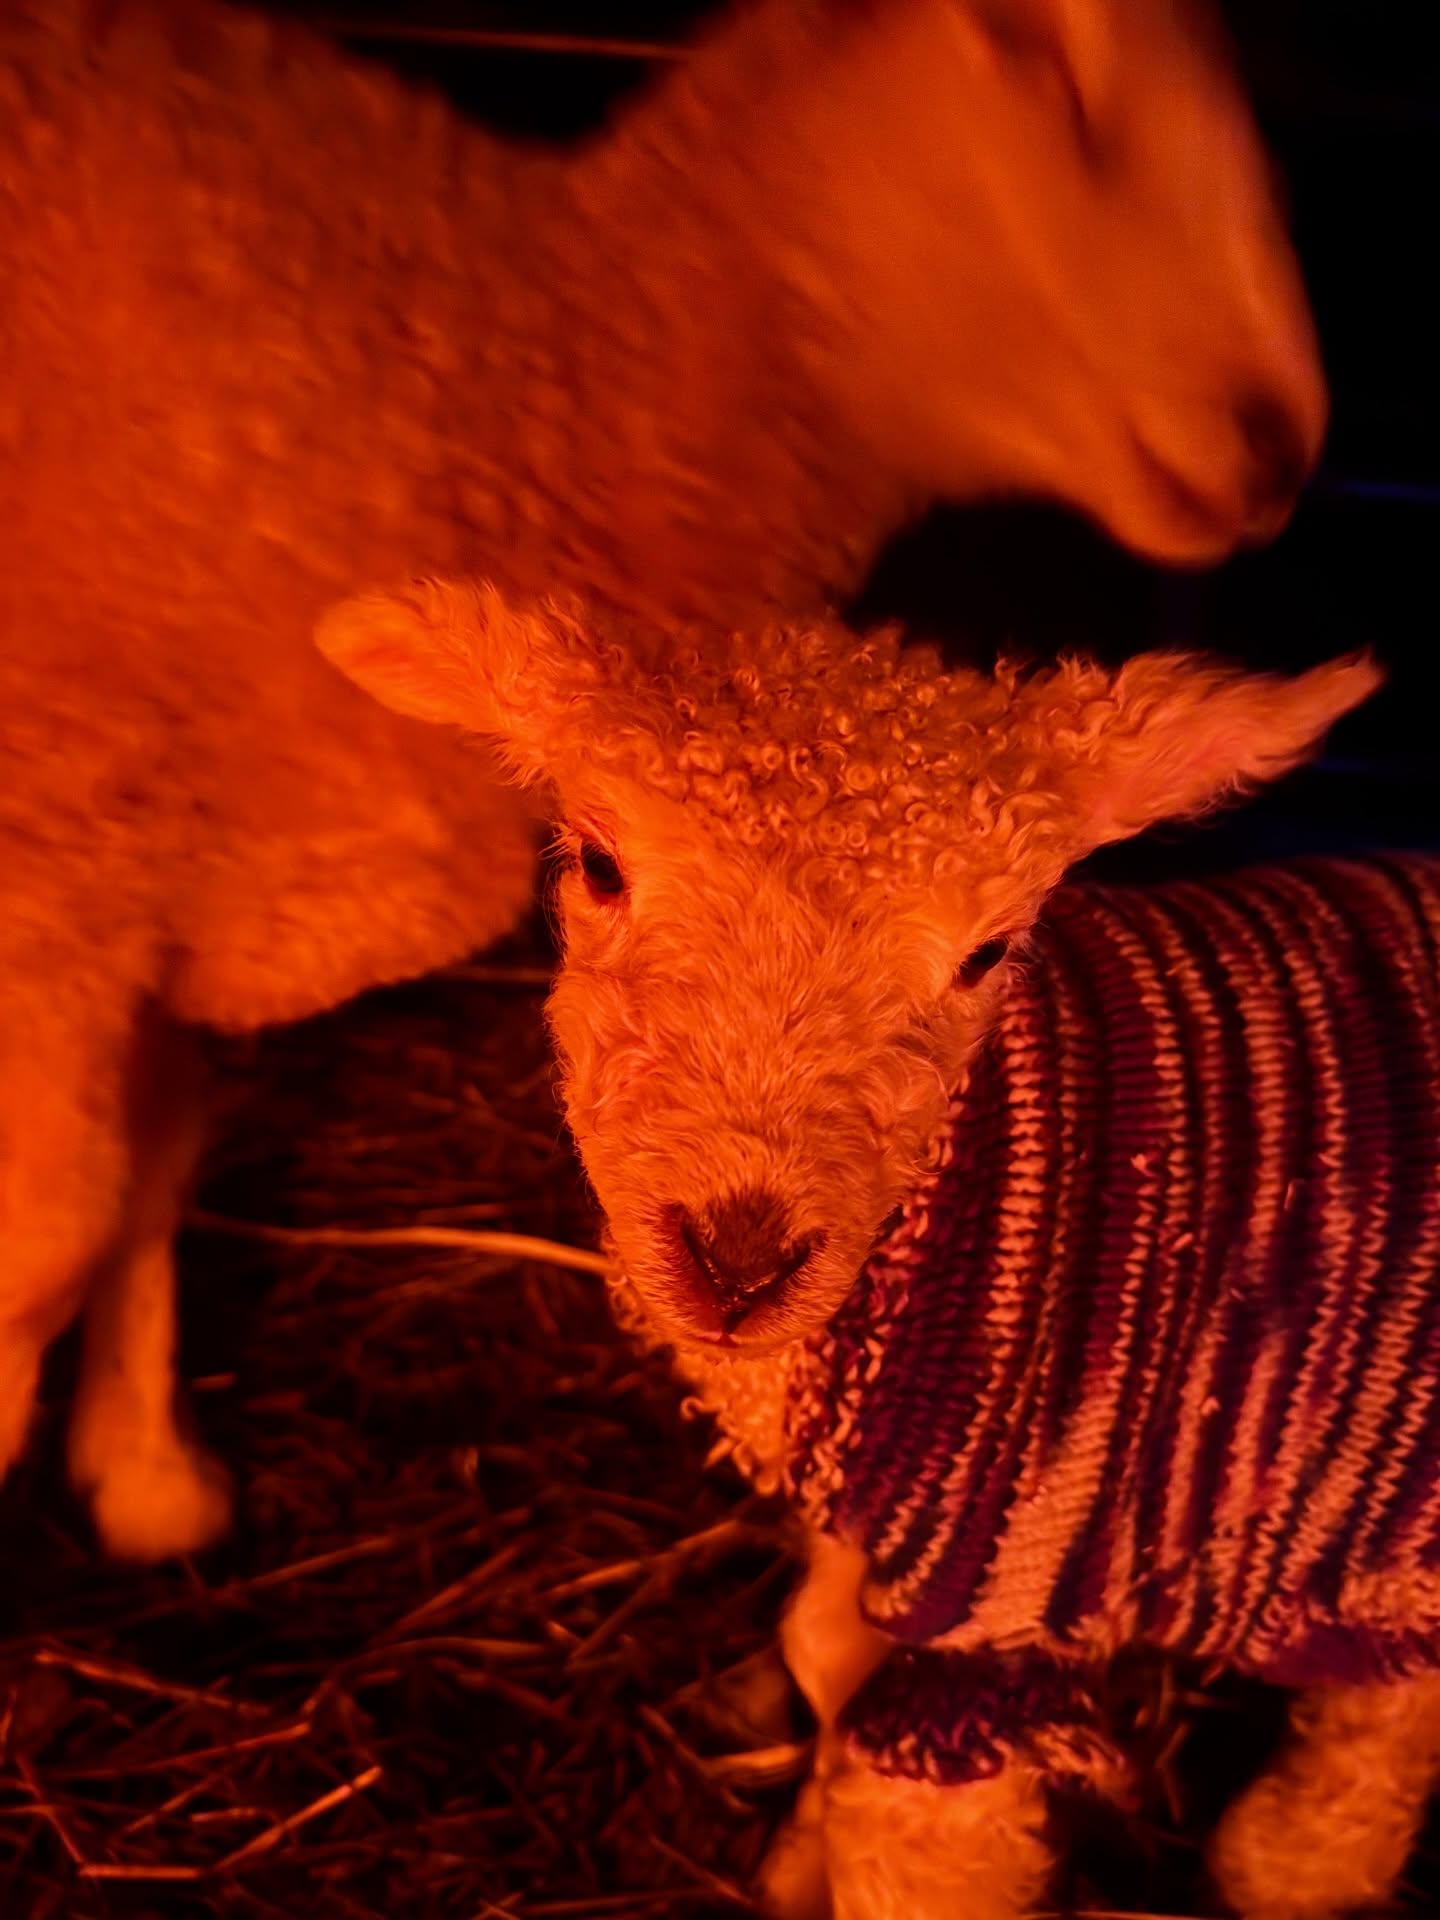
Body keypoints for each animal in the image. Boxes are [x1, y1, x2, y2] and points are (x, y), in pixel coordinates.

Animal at [0, 0, 1325, 1564]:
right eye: (1053, 76)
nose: (1282, 437)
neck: (540, 373)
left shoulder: (136, 894)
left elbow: (152, 1163)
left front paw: (144, 1473)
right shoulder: (62, 853)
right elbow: (55, 1230)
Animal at [320, 575, 1438, 1920]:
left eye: (987, 952)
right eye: (600, 865)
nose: (739, 1261)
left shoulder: (1003, 1600)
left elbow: (918, 1852)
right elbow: (822, 1659)